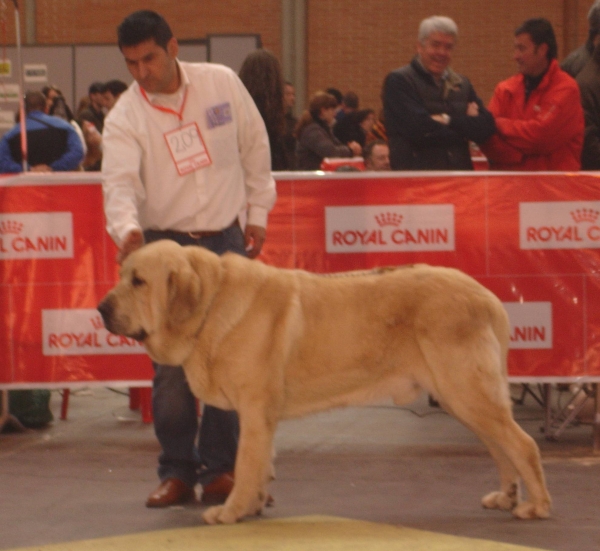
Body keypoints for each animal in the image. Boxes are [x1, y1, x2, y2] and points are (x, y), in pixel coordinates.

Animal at [98, 242, 552, 528]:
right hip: (466, 400)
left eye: (138, 281)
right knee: (502, 448)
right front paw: (254, 505)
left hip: (467, 392)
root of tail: (487, 296)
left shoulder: (254, 409)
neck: (211, 302)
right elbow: (260, 464)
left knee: (523, 444)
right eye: (121, 274)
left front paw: (230, 511)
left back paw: (536, 506)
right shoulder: (262, 417)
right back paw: (506, 496)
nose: (101, 307)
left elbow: (246, 463)